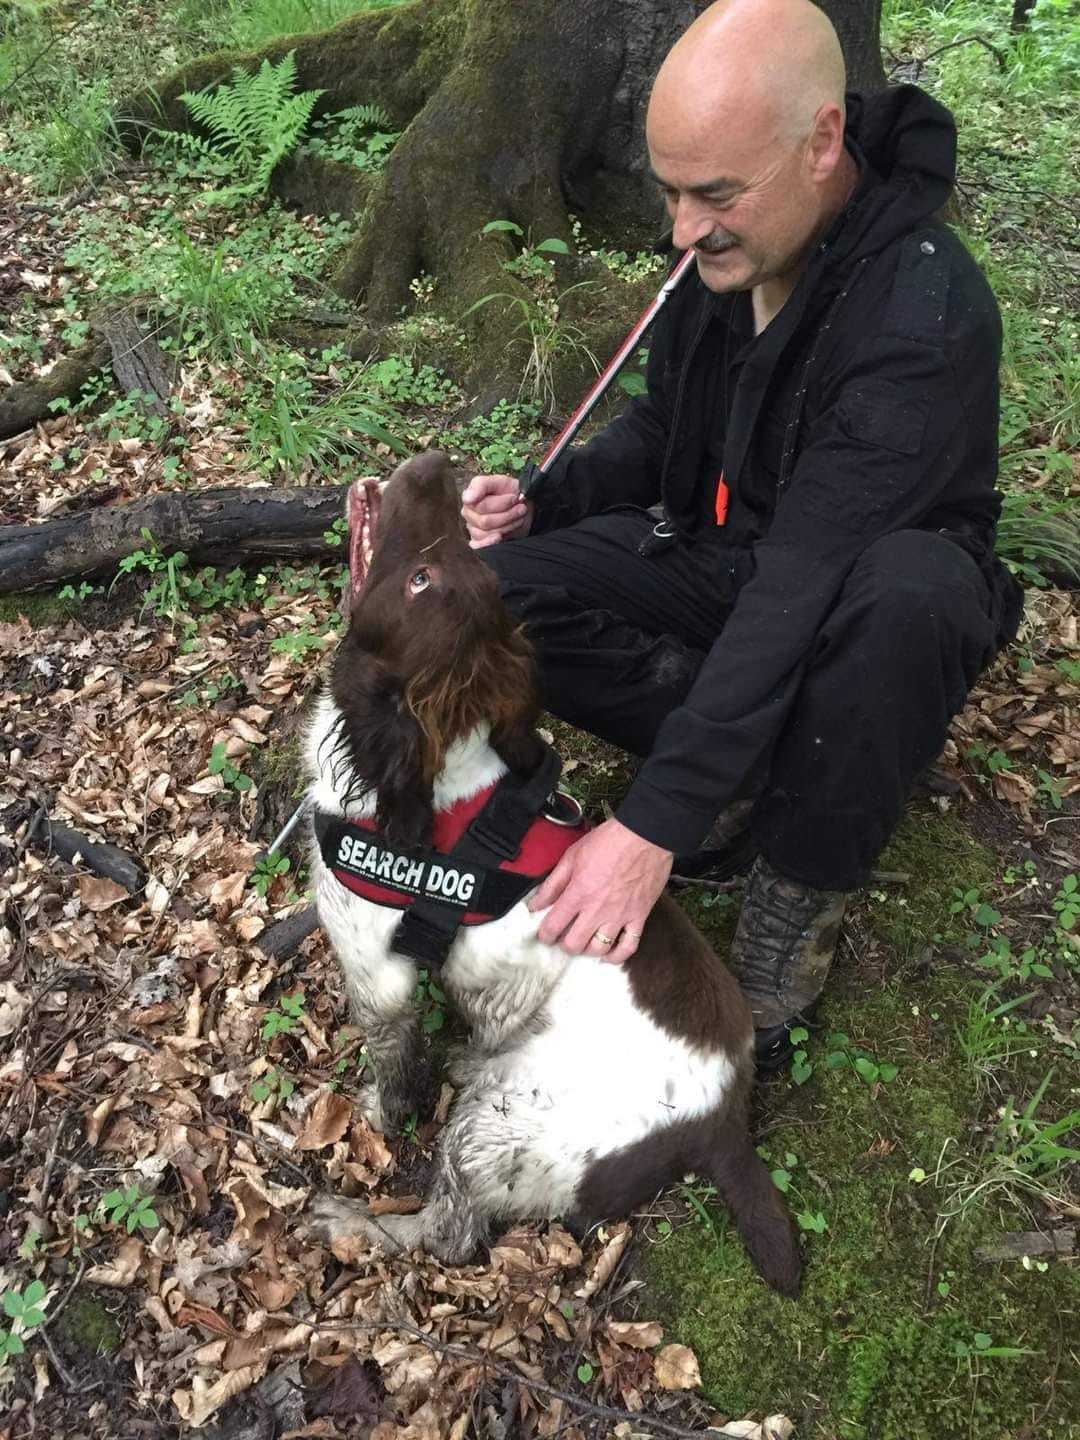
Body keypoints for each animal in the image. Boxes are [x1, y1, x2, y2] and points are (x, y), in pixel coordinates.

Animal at [305, 449, 806, 1296]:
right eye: (474, 565)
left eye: (422, 580)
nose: (438, 465)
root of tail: (723, 1123)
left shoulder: (377, 972)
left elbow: (392, 1065)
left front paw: (373, 1116)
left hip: (497, 1121)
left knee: (448, 1234)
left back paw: (355, 1224)